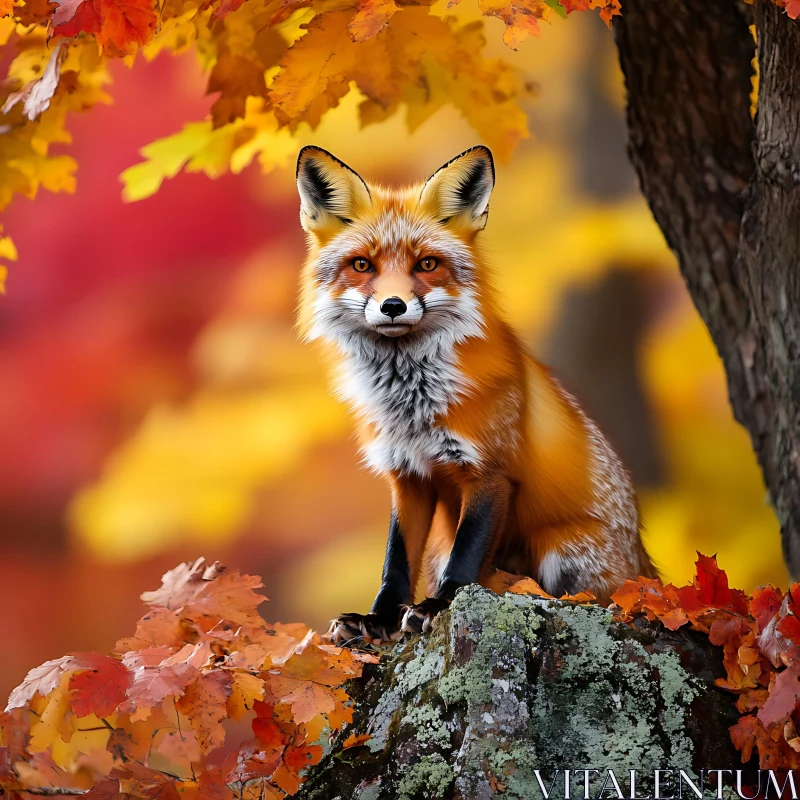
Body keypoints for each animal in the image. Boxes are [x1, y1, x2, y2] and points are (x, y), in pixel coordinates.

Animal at [296, 142, 656, 644]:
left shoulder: (489, 471)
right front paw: (378, 619)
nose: (392, 306)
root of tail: (646, 570)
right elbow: (395, 562)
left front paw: (438, 607)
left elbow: (466, 558)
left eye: (427, 264)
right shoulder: (406, 476)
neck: (411, 404)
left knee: (575, 596)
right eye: (362, 265)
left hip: (564, 548)